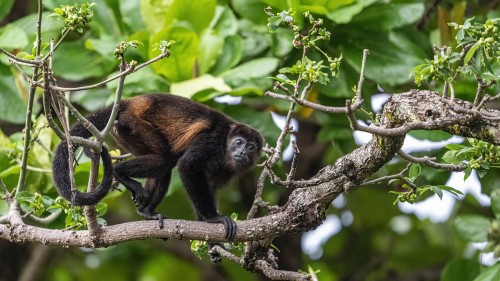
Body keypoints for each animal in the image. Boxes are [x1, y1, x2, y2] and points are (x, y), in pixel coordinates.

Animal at [52, 93, 264, 237]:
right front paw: (214, 218)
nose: (243, 152)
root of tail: (131, 101)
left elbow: (210, 186)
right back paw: (120, 173)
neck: (226, 145)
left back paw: (147, 212)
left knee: (163, 167)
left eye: (251, 147)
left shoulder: (229, 169)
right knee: (166, 158)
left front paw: (213, 245)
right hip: (134, 123)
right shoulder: (213, 140)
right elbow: (187, 166)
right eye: (239, 142)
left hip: (124, 132)